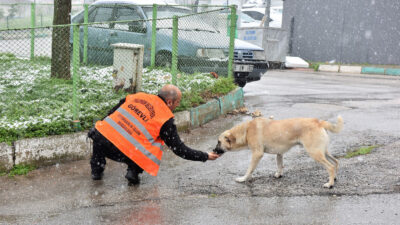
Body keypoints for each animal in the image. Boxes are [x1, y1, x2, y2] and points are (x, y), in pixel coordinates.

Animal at [216, 116, 344, 188]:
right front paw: (279, 174)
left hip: (315, 153)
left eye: (218, 142)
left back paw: (330, 184)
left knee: (330, 166)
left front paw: (243, 179)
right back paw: (334, 178)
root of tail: (319, 122)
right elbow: (279, 165)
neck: (246, 130)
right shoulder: (279, 153)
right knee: (336, 162)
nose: (213, 150)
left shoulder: (257, 154)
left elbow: (250, 169)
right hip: (322, 151)